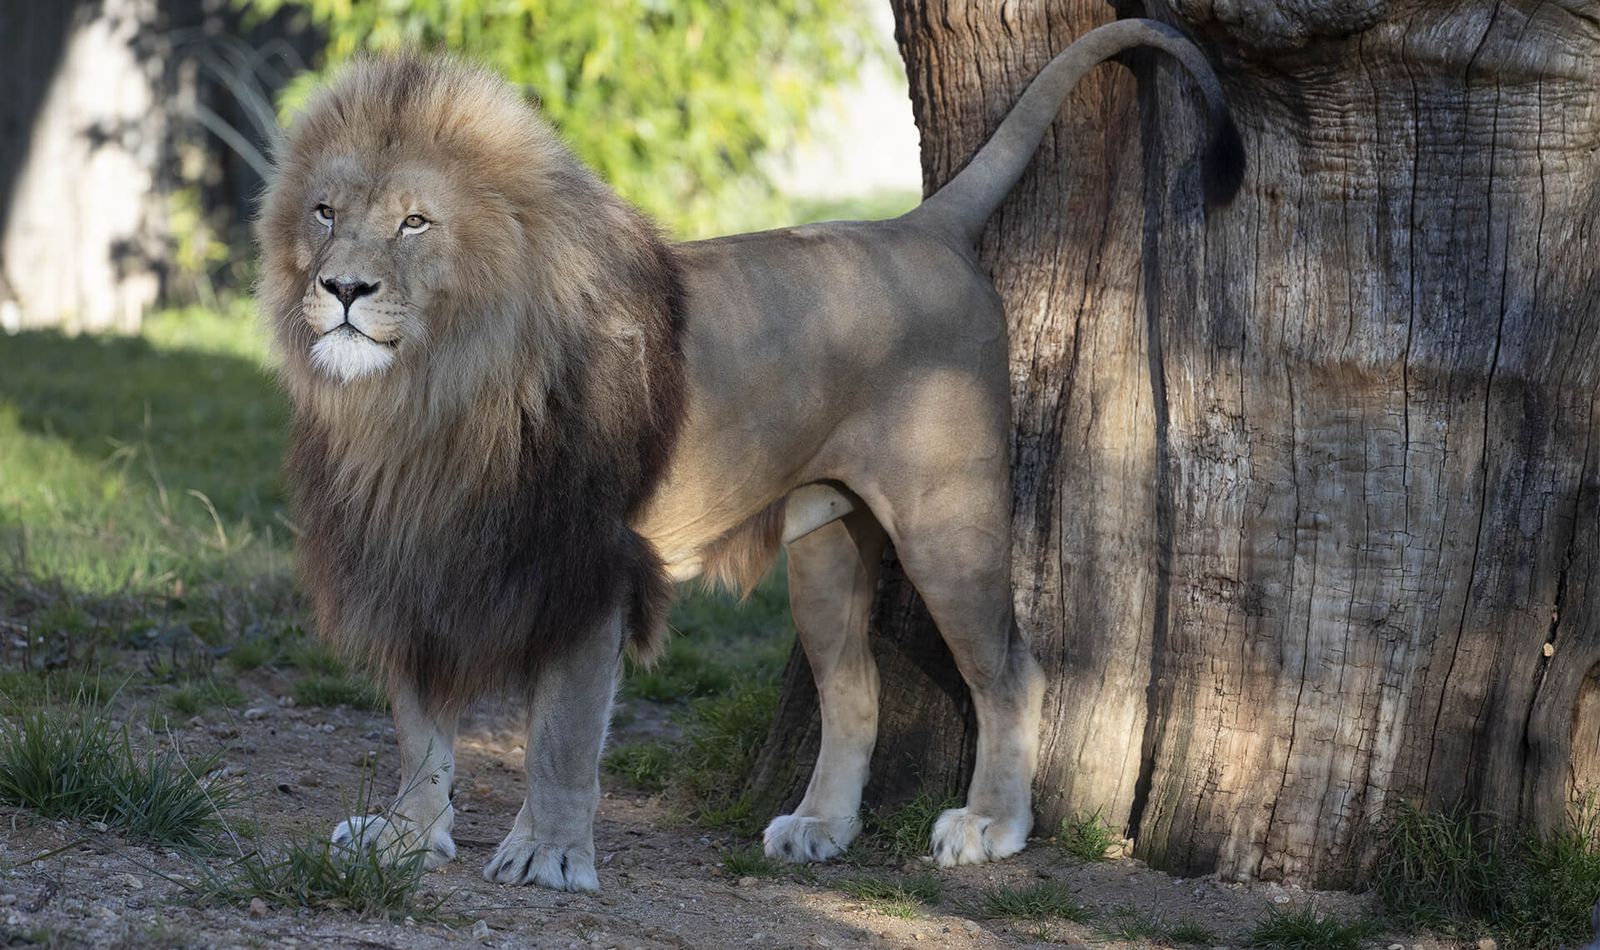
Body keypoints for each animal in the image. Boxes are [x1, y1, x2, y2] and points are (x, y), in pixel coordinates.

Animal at [257, 19, 1242, 893]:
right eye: (326, 212)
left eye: (416, 223)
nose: (342, 288)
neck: (425, 397)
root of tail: (919, 228)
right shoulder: (410, 554)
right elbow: (419, 725)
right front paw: (404, 836)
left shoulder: (593, 563)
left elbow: (562, 733)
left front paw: (549, 853)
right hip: (824, 546)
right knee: (855, 690)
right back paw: (820, 827)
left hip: (948, 521)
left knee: (1010, 671)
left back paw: (992, 825)